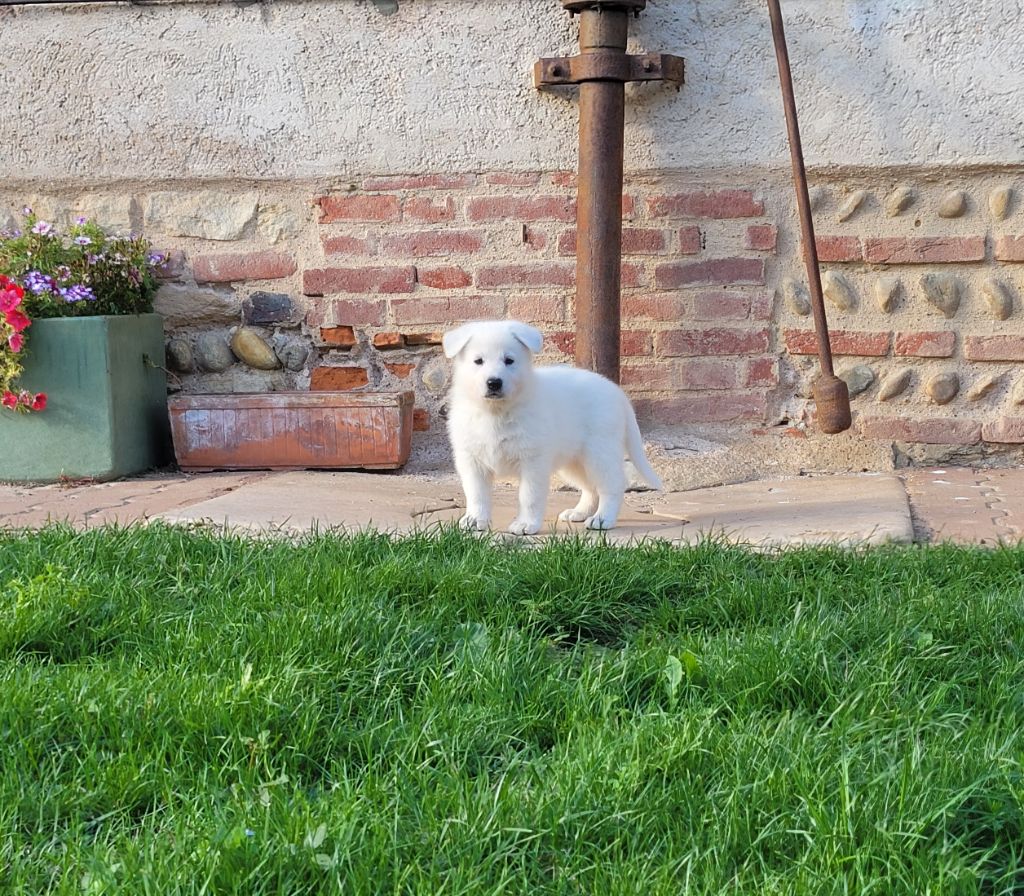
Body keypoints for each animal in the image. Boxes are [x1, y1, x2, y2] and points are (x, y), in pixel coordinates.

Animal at [442, 321, 663, 536]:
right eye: (478, 361)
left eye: (509, 360)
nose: (494, 382)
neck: (495, 413)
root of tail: (617, 392)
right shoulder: (471, 461)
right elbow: (476, 494)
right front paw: (475, 520)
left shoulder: (533, 461)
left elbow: (529, 496)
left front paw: (526, 524)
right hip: (575, 461)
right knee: (590, 487)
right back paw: (579, 512)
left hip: (600, 453)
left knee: (613, 484)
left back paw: (603, 519)